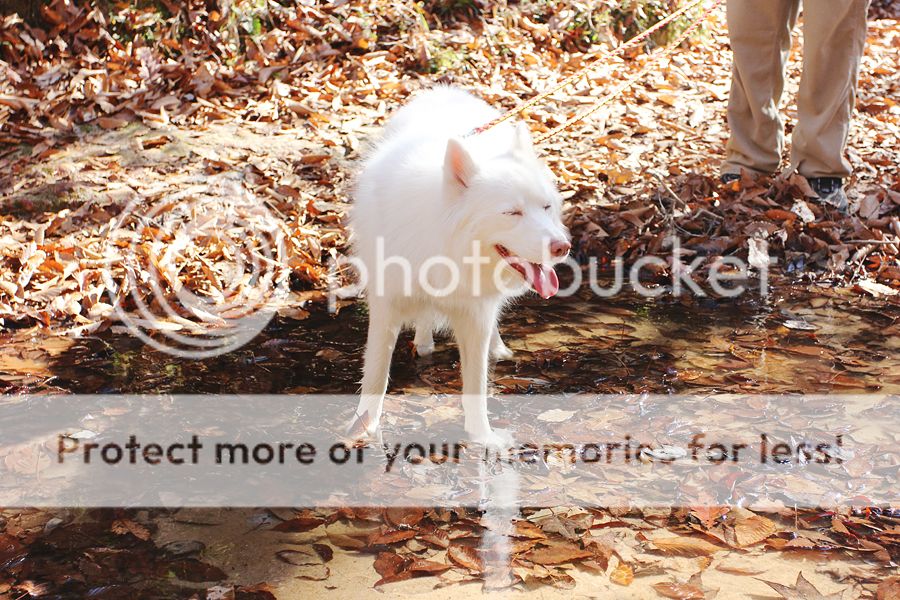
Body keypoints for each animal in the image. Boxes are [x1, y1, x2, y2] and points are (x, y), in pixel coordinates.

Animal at [350, 88, 568, 446]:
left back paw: (498, 348)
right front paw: (364, 428)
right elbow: (376, 374)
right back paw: (424, 343)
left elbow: (476, 382)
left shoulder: (476, 314)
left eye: (546, 207)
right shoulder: (386, 306)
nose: (562, 247)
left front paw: (482, 437)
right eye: (512, 213)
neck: (444, 243)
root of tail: (445, 89)